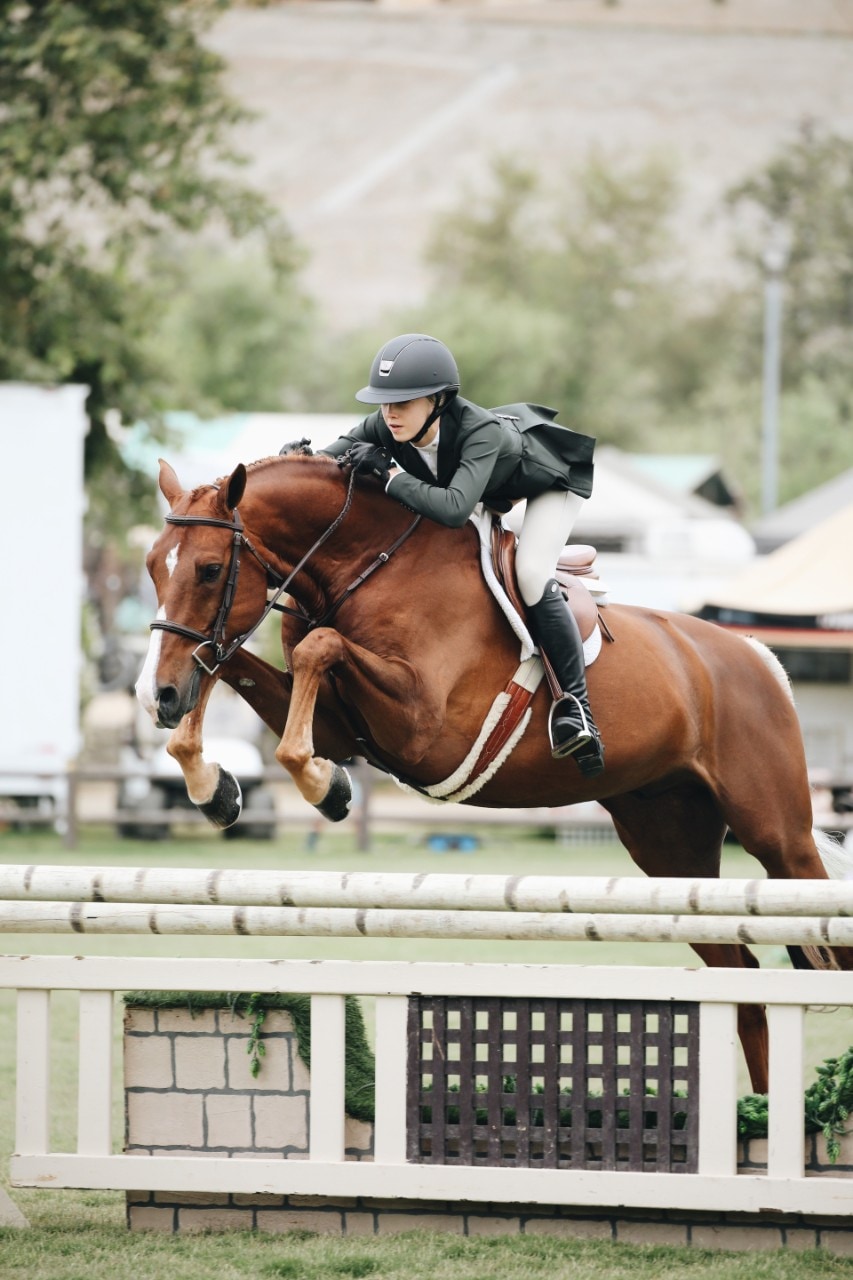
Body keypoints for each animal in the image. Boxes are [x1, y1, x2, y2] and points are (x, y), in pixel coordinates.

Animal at [136, 450, 845, 1090]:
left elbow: (317, 651)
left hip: (777, 837)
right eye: (151, 566)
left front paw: (323, 787)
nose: (157, 697)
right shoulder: (342, 726)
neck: (367, 566)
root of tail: (757, 656)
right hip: (671, 848)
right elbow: (226, 660)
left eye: (208, 569)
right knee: (743, 980)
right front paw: (214, 786)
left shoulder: (424, 729)